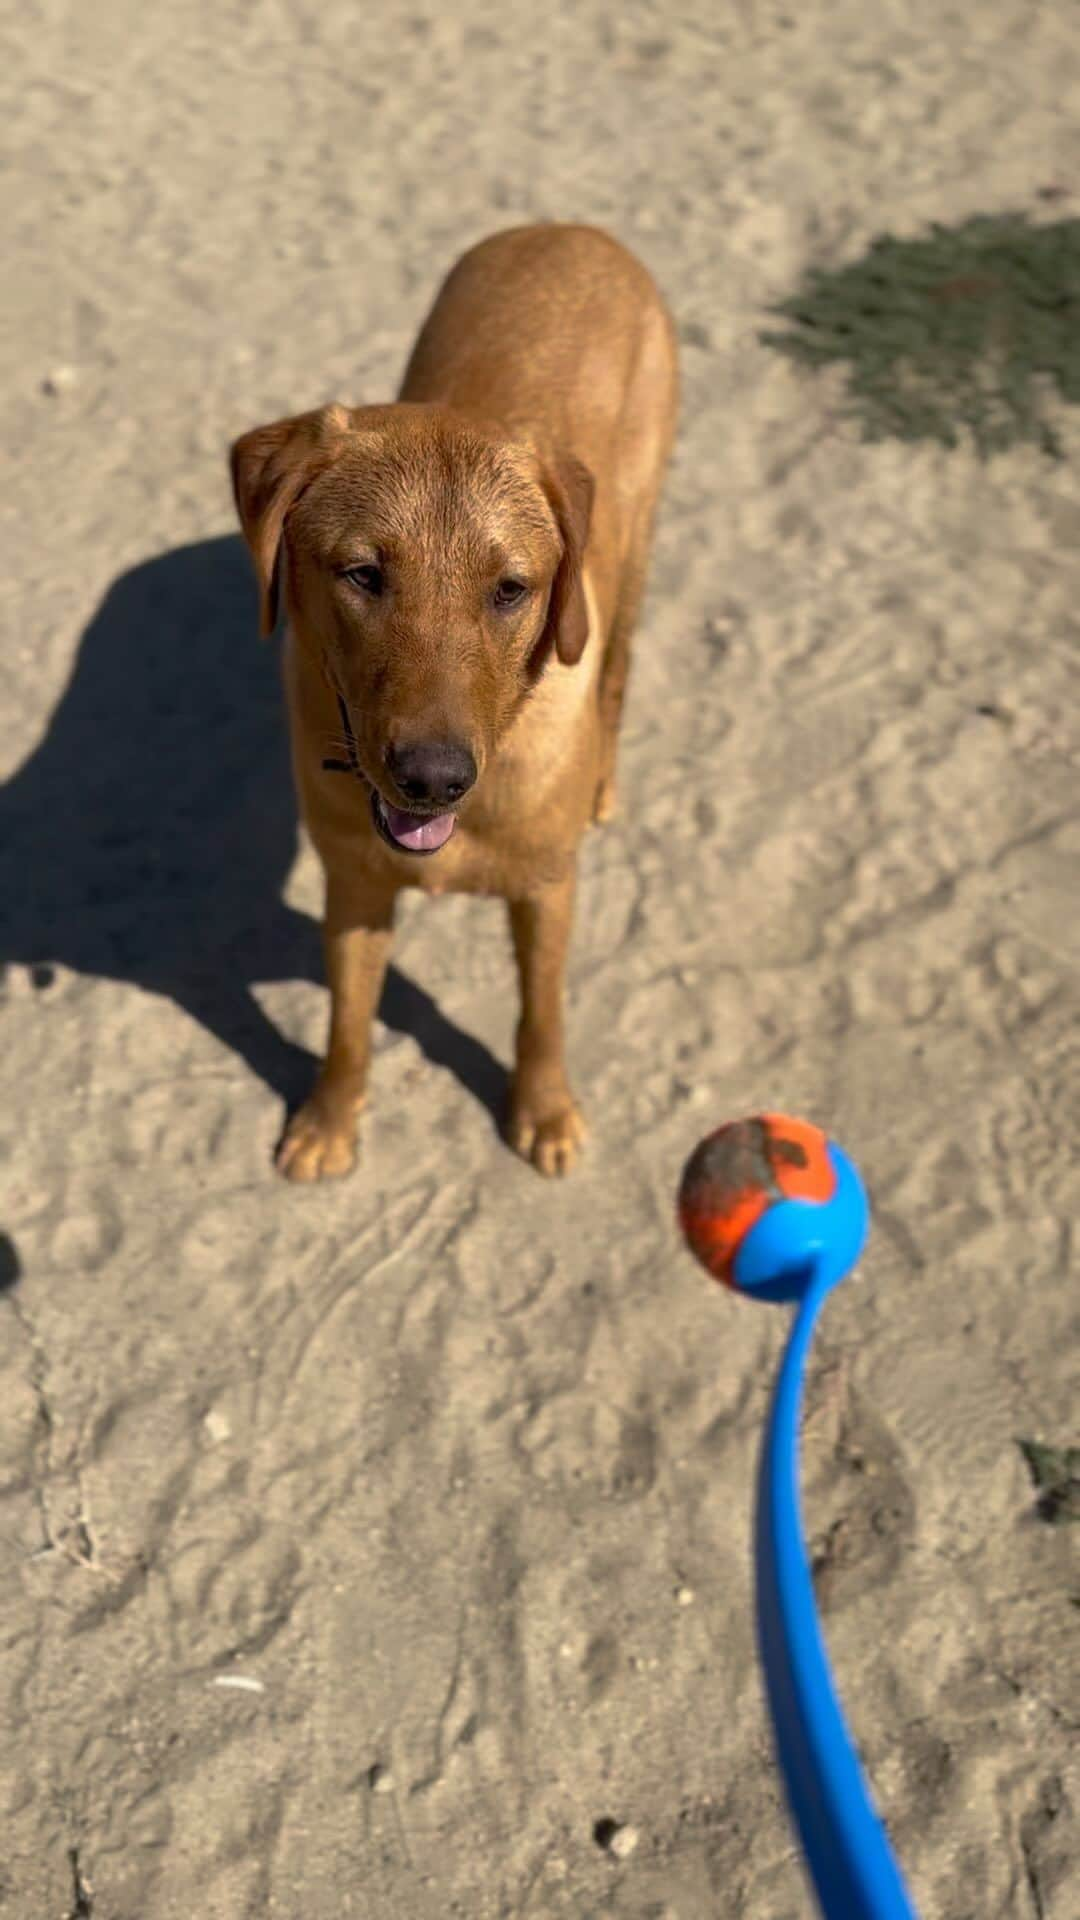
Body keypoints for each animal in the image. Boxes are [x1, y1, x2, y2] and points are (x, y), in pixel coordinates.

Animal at [232, 226, 676, 1182]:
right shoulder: (353, 885)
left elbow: (542, 1012)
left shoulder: (547, 888)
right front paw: (330, 1119)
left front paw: (543, 1111)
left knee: (619, 668)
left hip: (637, 543)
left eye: (511, 590)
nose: (432, 780)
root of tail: (568, 226)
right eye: (363, 574)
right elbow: (348, 1024)